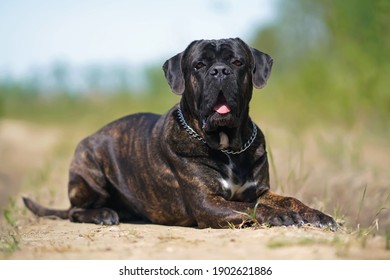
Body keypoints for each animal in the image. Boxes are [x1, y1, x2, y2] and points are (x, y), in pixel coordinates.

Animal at [22, 37, 336, 230]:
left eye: (237, 62)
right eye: (199, 65)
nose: (219, 71)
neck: (228, 146)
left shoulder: (260, 190)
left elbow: (288, 199)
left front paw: (318, 215)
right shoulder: (208, 204)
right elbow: (251, 208)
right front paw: (281, 215)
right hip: (90, 170)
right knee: (75, 211)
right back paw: (103, 214)